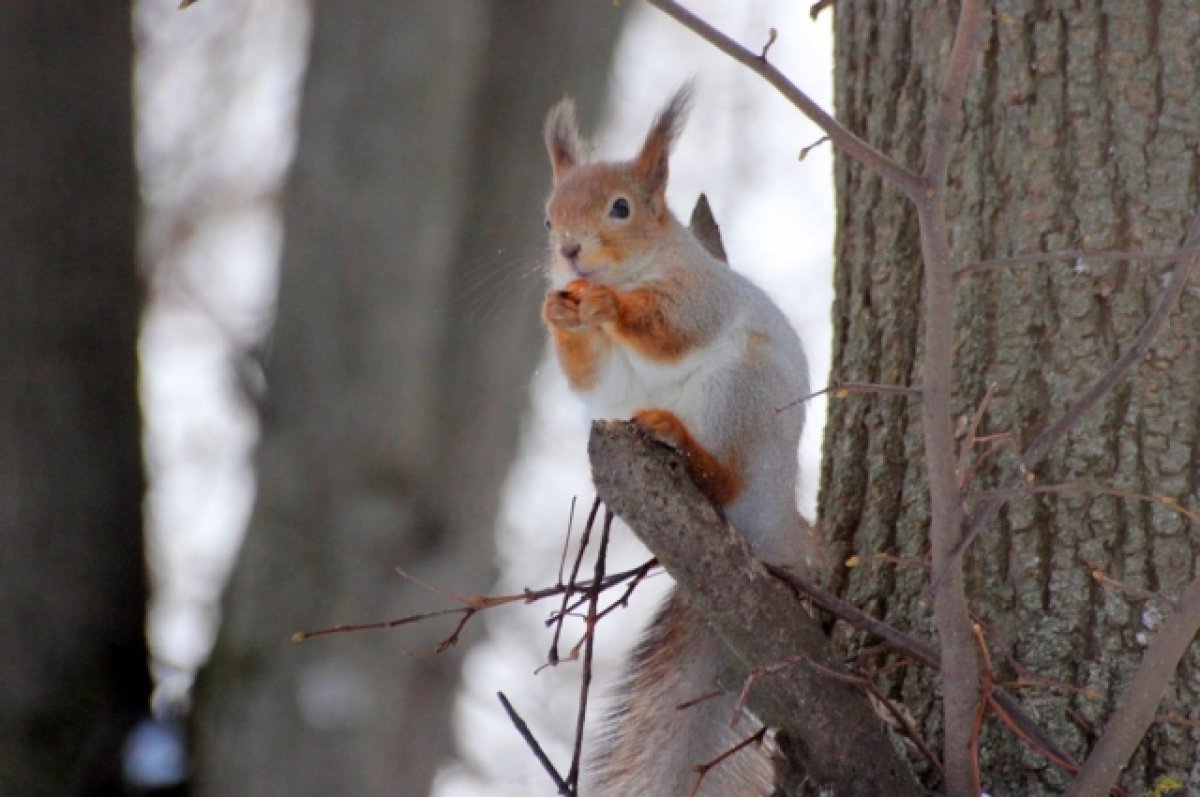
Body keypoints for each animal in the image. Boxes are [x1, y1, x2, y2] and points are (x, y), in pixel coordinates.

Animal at [542, 84, 825, 792]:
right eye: (547, 219)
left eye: (620, 208)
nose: (569, 251)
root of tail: (773, 520)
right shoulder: (600, 374)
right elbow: (591, 375)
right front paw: (557, 312)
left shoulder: (700, 295)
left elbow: (670, 328)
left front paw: (610, 308)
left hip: (739, 391)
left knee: (724, 475)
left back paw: (681, 442)